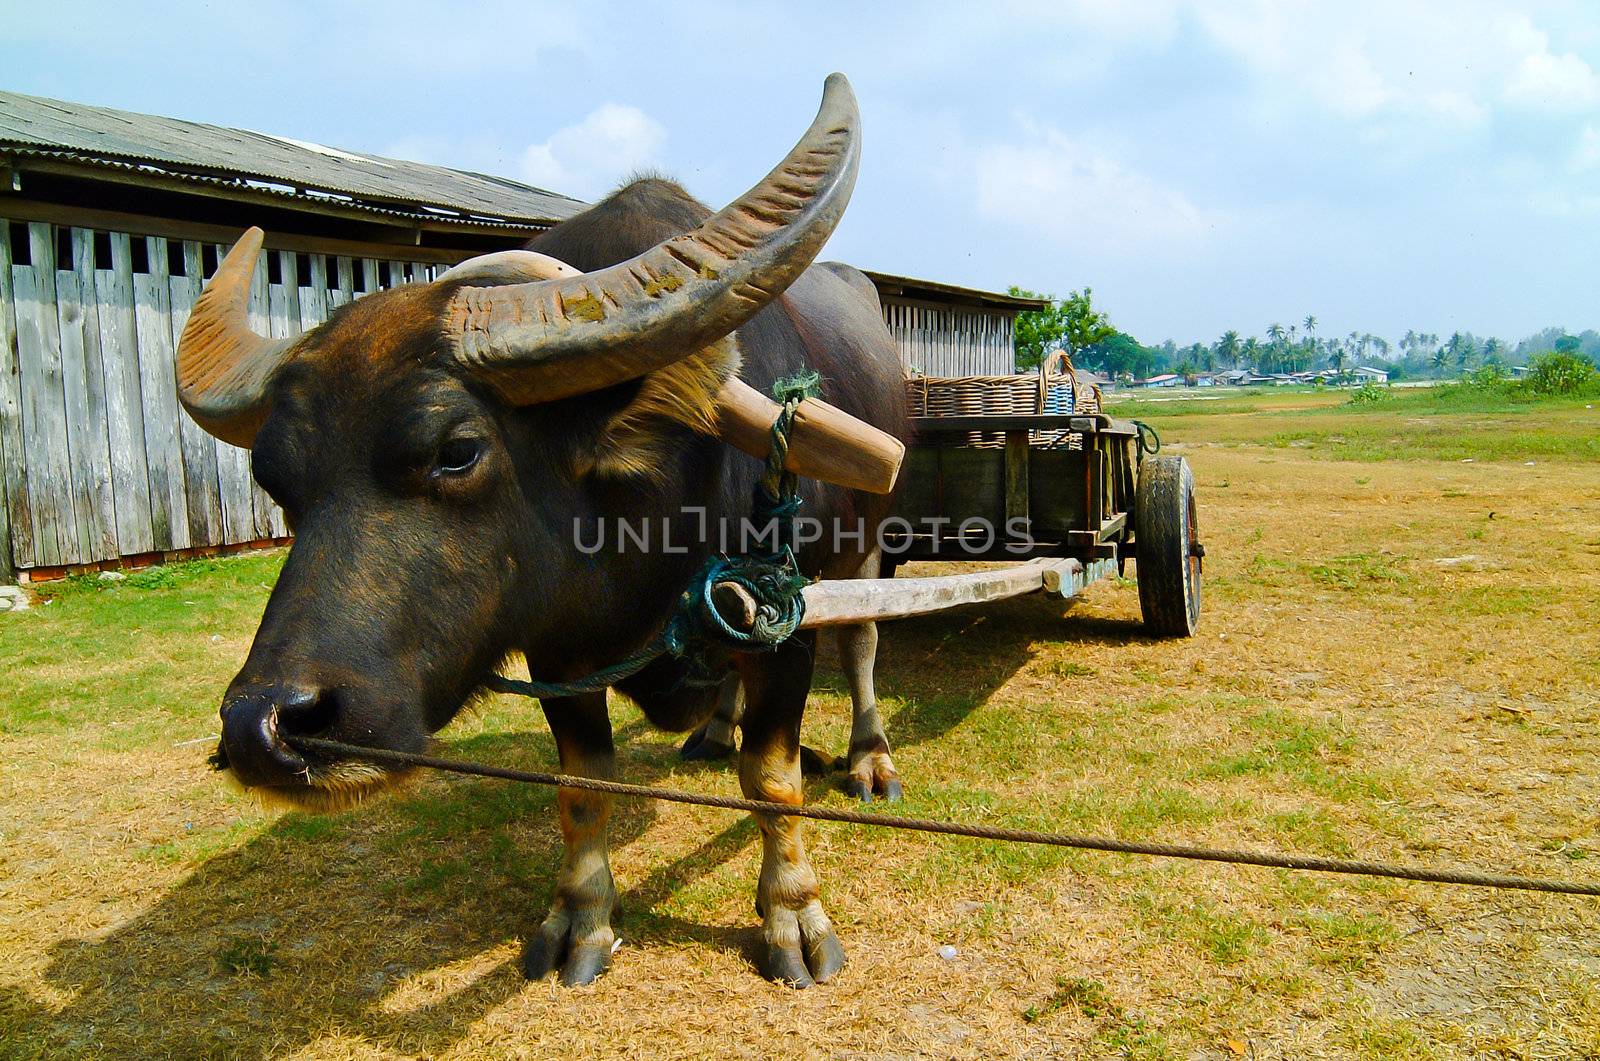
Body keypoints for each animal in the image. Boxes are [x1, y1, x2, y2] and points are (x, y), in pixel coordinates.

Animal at [181, 76, 908, 985]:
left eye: (457, 450)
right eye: (276, 480)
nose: (264, 727)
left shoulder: (786, 623)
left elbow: (773, 779)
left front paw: (793, 915)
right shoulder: (561, 647)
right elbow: (584, 787)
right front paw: (581, 919)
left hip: (869, 547)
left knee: (867, 641)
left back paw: (871, 757)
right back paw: (711, 728)